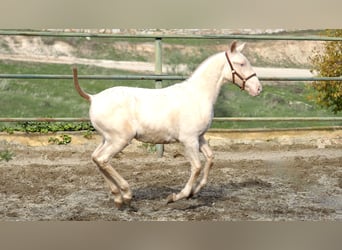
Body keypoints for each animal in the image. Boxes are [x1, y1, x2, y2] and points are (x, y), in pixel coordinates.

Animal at [72, 41, 262, 209]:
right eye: (241, 63)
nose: (258, 89)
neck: (198, 95)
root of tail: (93, 97)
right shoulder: (189, 140)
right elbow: (197, 167)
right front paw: (177, 197)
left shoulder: (199, 138)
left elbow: (210, 159)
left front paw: (195, 192)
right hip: (120, 139)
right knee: (102, 159)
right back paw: (126, 194)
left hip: (107, 139)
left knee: (96, 158)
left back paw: (118, 198)